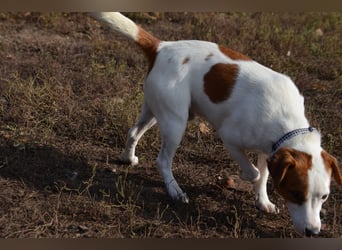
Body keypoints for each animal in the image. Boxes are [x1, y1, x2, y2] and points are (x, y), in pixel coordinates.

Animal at [91, 12, 342, 236]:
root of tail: (161, 47)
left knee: (133, 131)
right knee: (162, 160)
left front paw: (263, 201)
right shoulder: (230, 138)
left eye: (324, 197)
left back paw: (128, 157)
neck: (288, 125)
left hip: (155, 111)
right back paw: (175, 191)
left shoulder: (269, 149)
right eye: (296, 193)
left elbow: (263, 176)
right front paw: (244, 179)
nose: (313, 232)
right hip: (175, 122)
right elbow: (254, 173)